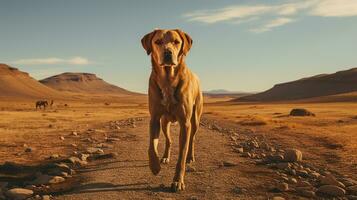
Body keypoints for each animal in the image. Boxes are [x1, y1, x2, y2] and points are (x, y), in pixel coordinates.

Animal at [142, 28, 203, 191]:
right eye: (157, 41)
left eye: (176, 42)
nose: (168, 52)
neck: (168, 80)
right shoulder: (155, 118)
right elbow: (151, 146)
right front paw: (154, 166)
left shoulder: (185, 123)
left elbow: (181, 155)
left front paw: (178, 181)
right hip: (165, 122)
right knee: (169, 140)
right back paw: (164, 157)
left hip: (195, 120)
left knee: (192, 139)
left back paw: (191, 157)